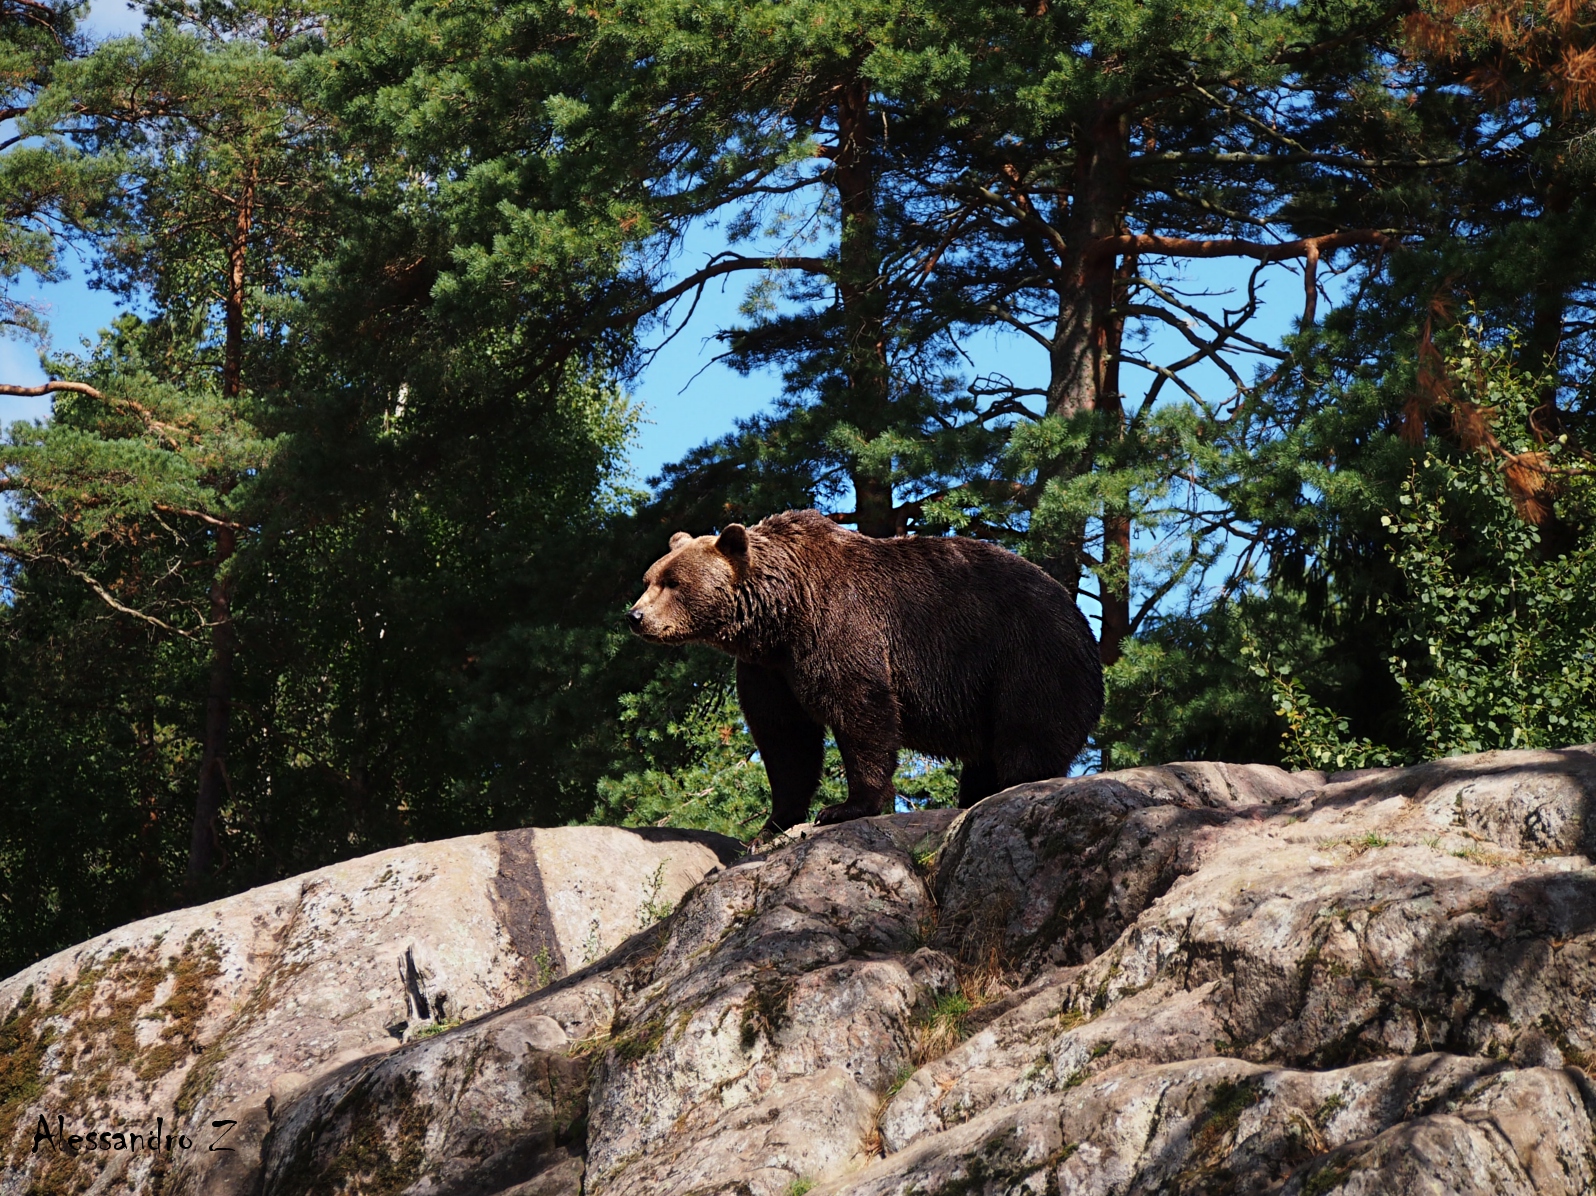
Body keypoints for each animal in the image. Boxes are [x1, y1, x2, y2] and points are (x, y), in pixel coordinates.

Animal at [628, 509, 1103, 831]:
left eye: (673, 582)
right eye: (649, 578)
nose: (634, 616)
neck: (782, 612)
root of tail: (1079, 616)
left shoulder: (840, 627)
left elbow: (860, 707)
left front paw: (845, 807)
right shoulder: (769, 668)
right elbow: (785, 738)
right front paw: (774, 823)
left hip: (1025, 654)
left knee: (1029, 730)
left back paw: (1014, 785)